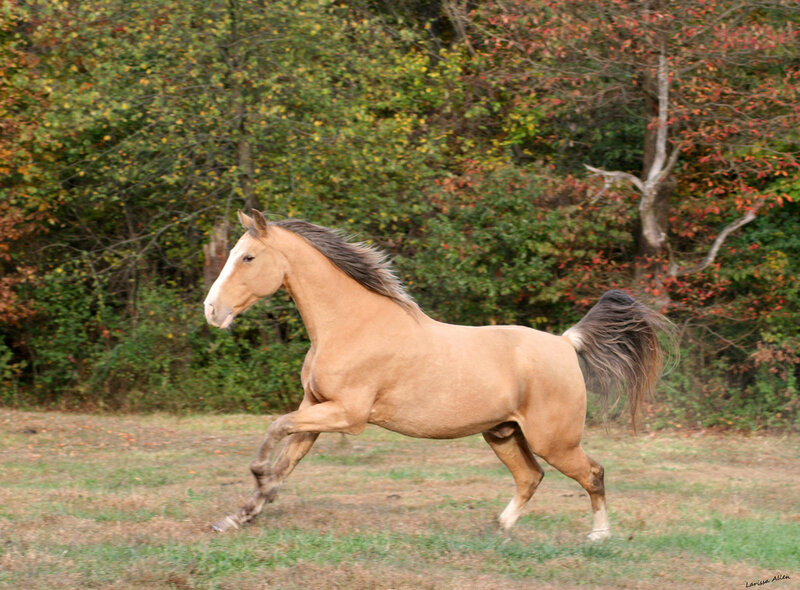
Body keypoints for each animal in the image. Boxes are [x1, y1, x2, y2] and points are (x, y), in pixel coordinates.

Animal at [204, 209, 673, 538]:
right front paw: (239, 515)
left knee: (592, 473)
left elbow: (275, 430)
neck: (352, 324)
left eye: (248, 257)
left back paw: (599, 535)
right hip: (502, 433)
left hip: (554, 441)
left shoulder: (347, 415)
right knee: (530, 477)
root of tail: (564, 343)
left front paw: (258, 479)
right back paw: (499, 528)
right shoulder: (317, 407)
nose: (212, 311)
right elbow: (288, 457)